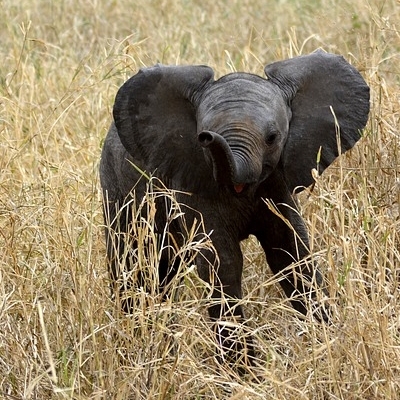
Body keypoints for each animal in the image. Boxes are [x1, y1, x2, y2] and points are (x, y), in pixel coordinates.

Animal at [100, 50, 370, 367]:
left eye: (272, 138)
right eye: (201, 138)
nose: (207, 136)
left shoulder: (279, 182)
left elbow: (291, 252)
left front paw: (328, 343)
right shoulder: (193, 185)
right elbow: (223, 262)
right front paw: (245, 372)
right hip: (116, 189)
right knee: (135, 265)